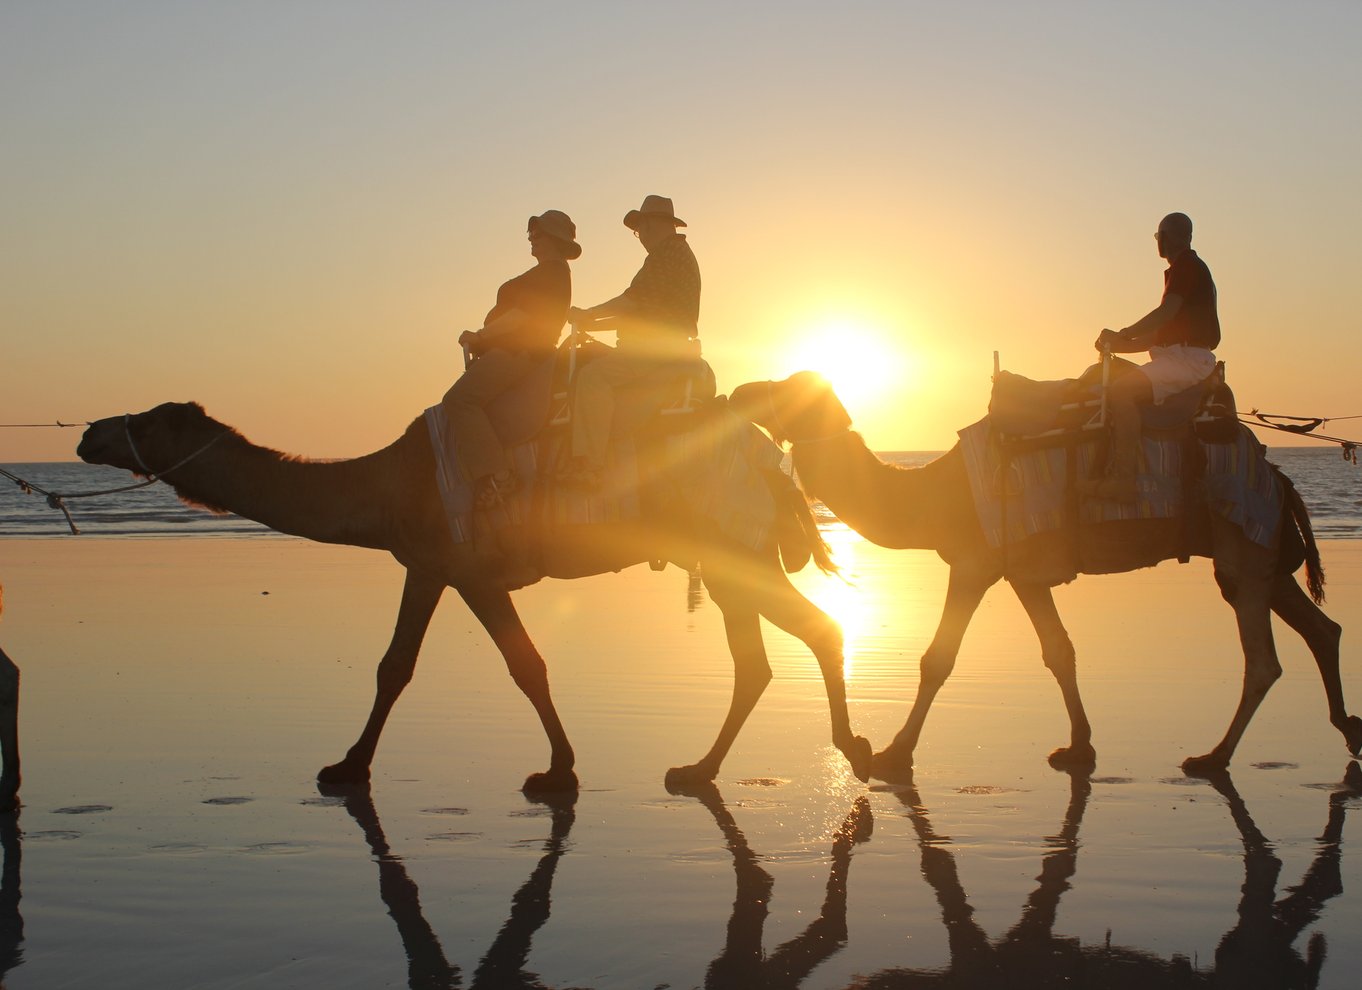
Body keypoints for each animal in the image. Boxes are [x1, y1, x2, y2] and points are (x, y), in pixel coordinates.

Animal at [77, 397, 871, 795]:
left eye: (147, 419)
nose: (88, 433)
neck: (384, 483)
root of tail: (772, 460)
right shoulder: (426, 565)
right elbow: (395, 666)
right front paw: (352, 765)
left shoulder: (467, 570)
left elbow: (524, 666)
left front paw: (556, 773)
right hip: (731, 553)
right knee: (758, 660)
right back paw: (700, 769)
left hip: (735, 545)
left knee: (817, 630)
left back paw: (850, 750)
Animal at [730, 373, 1362, 784]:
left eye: (785, 386)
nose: (736, 393)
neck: (931, 493)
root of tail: (1279, 476)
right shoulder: (1024, 573)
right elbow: (1060, 651)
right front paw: (1079, 747)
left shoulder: (975, 562)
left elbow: (938, 659)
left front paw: (893, 754)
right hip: (1259, 550)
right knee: (1320, 629)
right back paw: (1348, 730)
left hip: (1242, 541)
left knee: (1263, 659)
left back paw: (1213, 757)